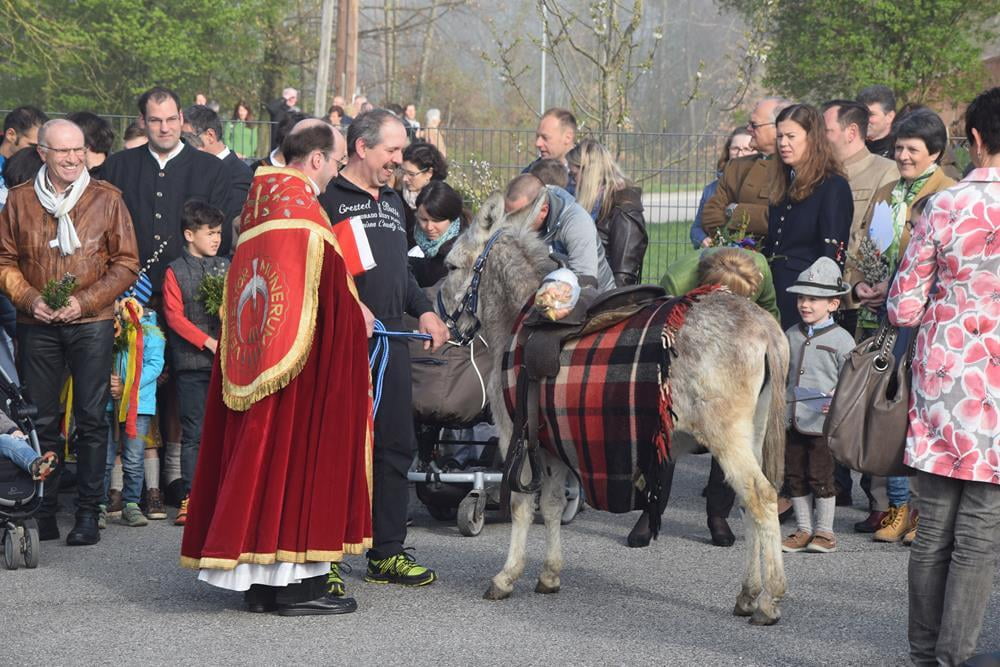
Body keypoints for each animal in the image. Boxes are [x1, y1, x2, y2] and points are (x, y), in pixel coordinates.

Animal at [437, 191, 791, 625]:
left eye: (451, 265)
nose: (443, 325)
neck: (522, 320)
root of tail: (763, 325)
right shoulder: (553, 443)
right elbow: (551, 506)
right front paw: (549, 574)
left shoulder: (515, 436)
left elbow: (522, 506)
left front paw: (507, 576)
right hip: (753, 435)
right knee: (748, 506)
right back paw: (748, 593)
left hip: (728, 439)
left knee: (761, 499)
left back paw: (769, 600)